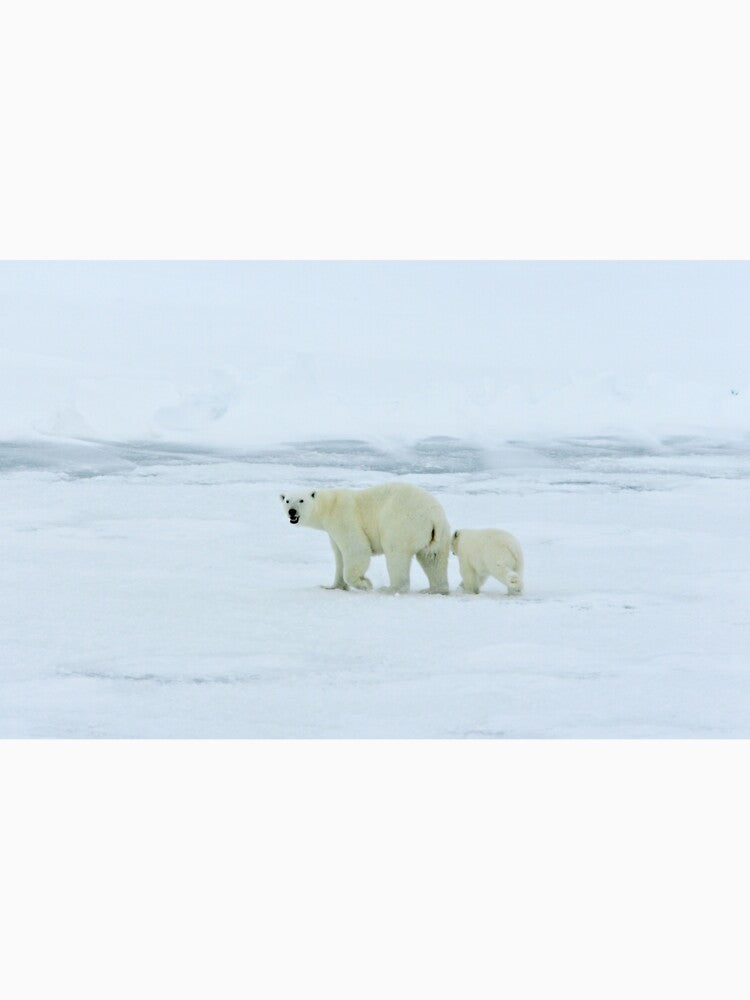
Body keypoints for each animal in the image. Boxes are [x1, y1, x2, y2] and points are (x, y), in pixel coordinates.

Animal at [280, 482, 451, 594]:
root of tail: (434, 517)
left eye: (301, 500)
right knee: (433, 558)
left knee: (396, 554)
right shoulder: (333, 532)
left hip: (402, 523)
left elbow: (356, 549)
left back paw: (389, 589)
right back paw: (434, 589)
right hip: (438, 534)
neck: (329, 506)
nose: (292, 511)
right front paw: (332, 586)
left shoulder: (344, 518)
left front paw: (365, 584)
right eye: (287, 500)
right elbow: (339, 556)